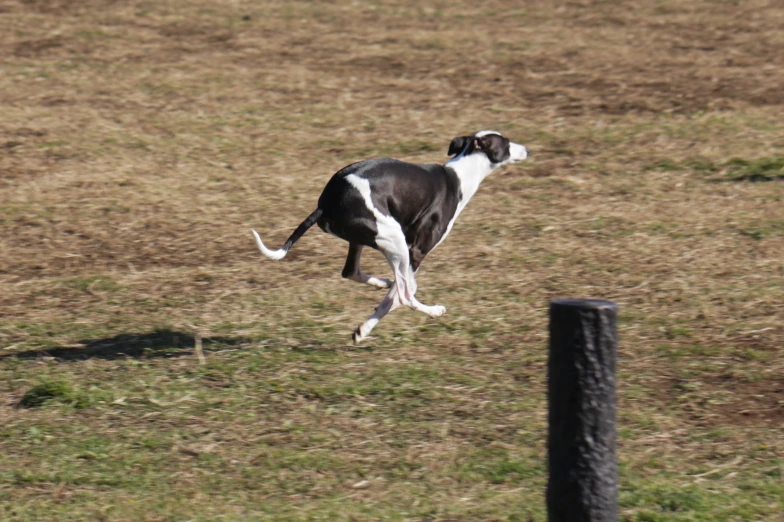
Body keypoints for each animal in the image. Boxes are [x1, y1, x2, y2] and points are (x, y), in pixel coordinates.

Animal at [253, 129, 528, 342]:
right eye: (505, 141)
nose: (527, 149)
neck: (459, 176)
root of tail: (326, 203)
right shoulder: (417, 250)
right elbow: (401, 294)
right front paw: (366, 327)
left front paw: (363, 329)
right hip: (394, 241)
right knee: (405, 294)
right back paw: (433, 310)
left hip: (364, 239)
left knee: (352, 272)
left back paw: (382, 283)